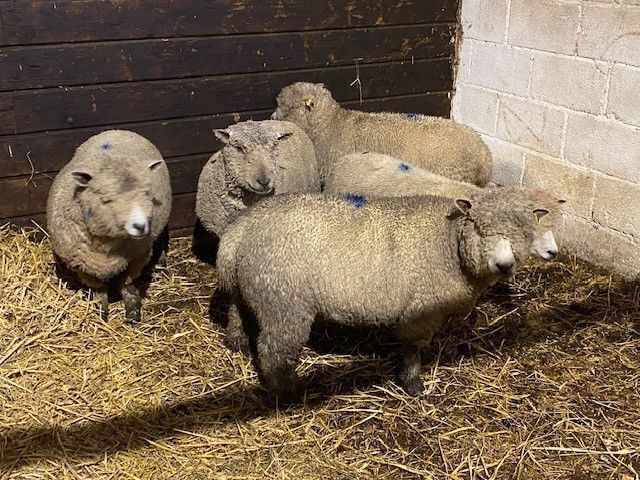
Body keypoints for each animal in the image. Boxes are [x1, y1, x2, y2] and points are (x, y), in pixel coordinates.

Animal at [46, 129, 172, 323]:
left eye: (147, 194)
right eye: (106, 199)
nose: (141, 226)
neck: (105, 248)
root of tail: (116, 131)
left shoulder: (138, 256)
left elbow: (127, 284)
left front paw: (133, 310)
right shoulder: (80, 265)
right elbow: (98, 288)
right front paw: (100, 308)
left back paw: (160, 262)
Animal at [216, 189, 550, 398]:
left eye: (525, 233)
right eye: (479, 228)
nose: (504, 265)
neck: (448, 242)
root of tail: (239, 232)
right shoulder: (422, 310)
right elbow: (413, 348)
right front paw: (412, 383)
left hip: (253, 288)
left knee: (237, 311)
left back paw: (238, 344)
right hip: (284, 301)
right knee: (274, 349)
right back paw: (287, 392)